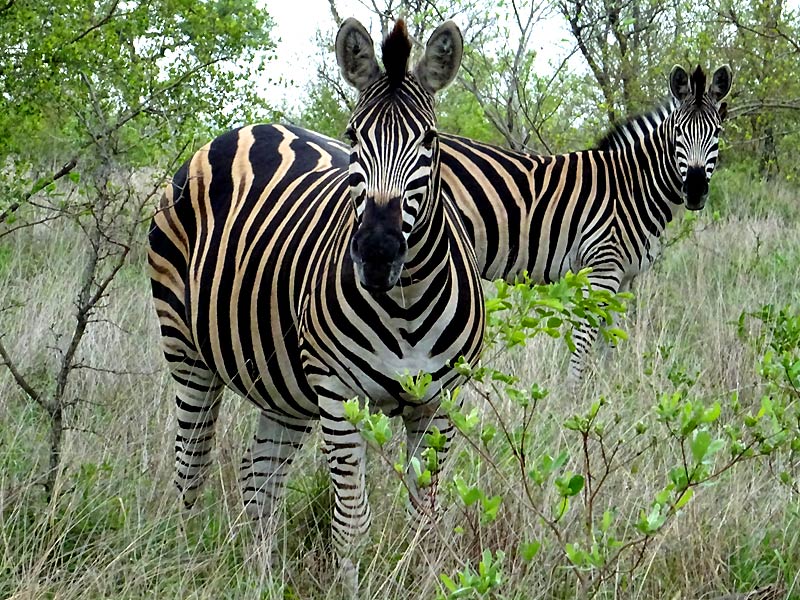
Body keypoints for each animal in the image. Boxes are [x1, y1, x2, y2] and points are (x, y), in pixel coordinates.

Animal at [147, 17, 485, 589]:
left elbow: (428, 516)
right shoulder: (337, 391)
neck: (406, 301)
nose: (377, 254)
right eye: (353, 137)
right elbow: (350, 523)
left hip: (281, 384)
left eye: (431, 141)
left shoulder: (439, 403)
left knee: (258, 482)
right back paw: (184, 563)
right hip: (187, 351)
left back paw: (260, 581)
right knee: (190, 465)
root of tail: (248, 128)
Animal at [438, 64, 732, 383]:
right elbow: (583, 342)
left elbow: (611, 340)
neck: (633, 187)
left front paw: (610, 387)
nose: (695, 190)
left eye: (717, 132)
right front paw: (572, 391)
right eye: (678, 132)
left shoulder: (623, 277)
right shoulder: (602, 269)